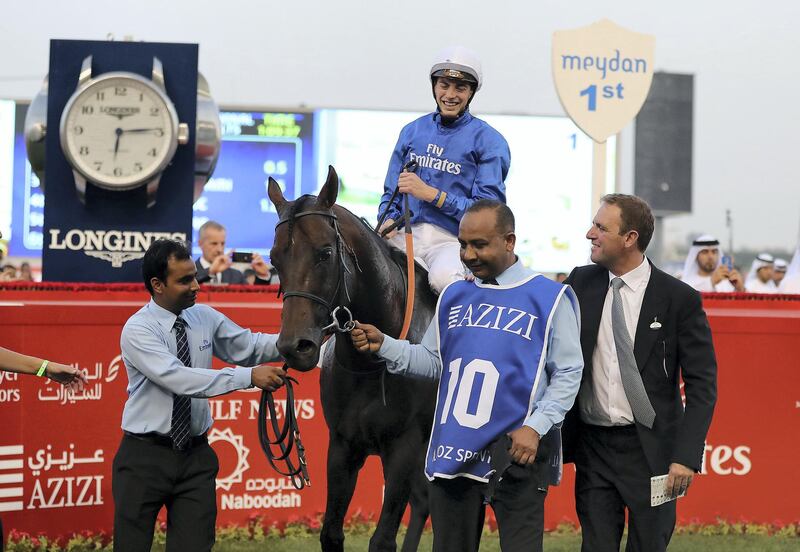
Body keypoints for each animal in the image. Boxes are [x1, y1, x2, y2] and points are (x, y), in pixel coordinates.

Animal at [268, 166, 438, 548]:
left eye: (325, 253)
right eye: (273, 258)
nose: (295, 346)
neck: (372, 364)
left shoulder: (404, 449)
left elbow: (383, 539)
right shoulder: (344, 447)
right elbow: (331, 532)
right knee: (425, 502)